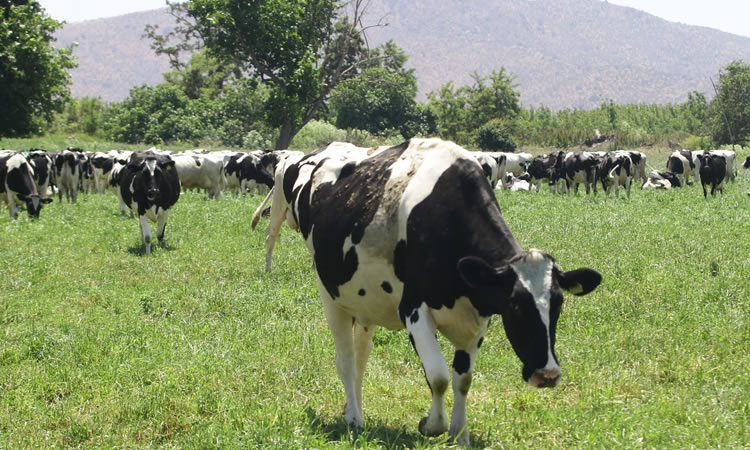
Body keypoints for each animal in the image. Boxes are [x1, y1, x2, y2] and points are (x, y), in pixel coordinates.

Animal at [256, 138, 604, 446]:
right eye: (516, 306)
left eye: (558, 305)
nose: (548, 374)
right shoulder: (413, 308)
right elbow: (438, 376)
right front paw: (431, 425)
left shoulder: (478, 318)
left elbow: (463, 379)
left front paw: (460, 434)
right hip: (331, 295)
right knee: (346, 359)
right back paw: (354, 417)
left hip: (365, 301)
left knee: (361, 359)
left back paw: (353, 407)